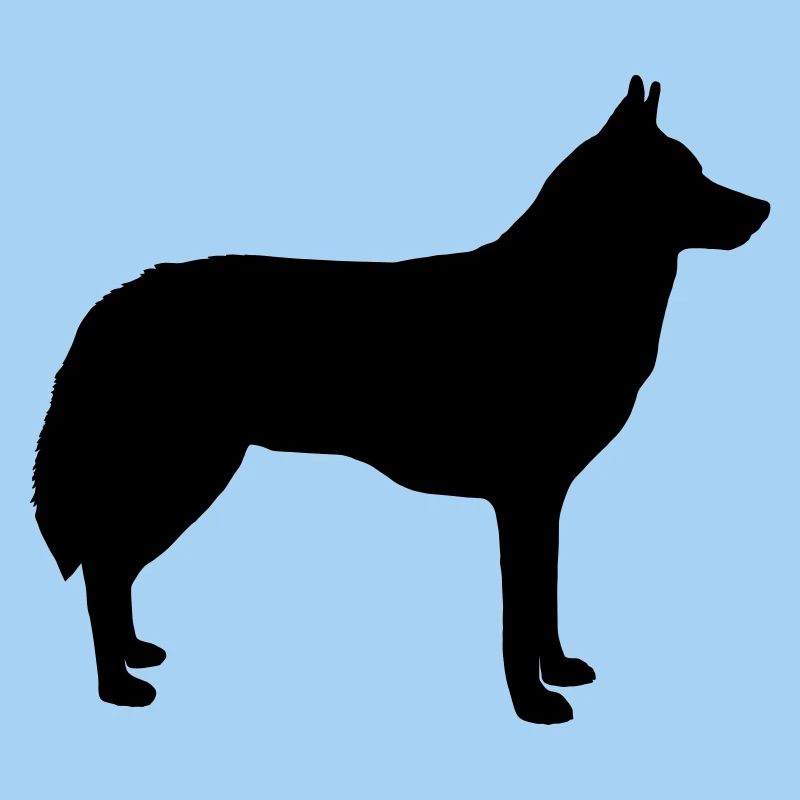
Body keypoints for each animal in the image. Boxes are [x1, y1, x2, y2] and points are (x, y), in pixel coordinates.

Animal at [33, 76, 769, 723]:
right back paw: (117, 687)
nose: (763, 209)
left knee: (115, 569)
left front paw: (557, 671)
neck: (568, 289)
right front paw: (533, 705)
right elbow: (517, 616)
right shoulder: (521, 499)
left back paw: (133, 655)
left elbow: (546, 600)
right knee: (104, 567)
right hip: (183, 474)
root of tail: (115, 303)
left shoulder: (547, 501)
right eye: (685, 175)